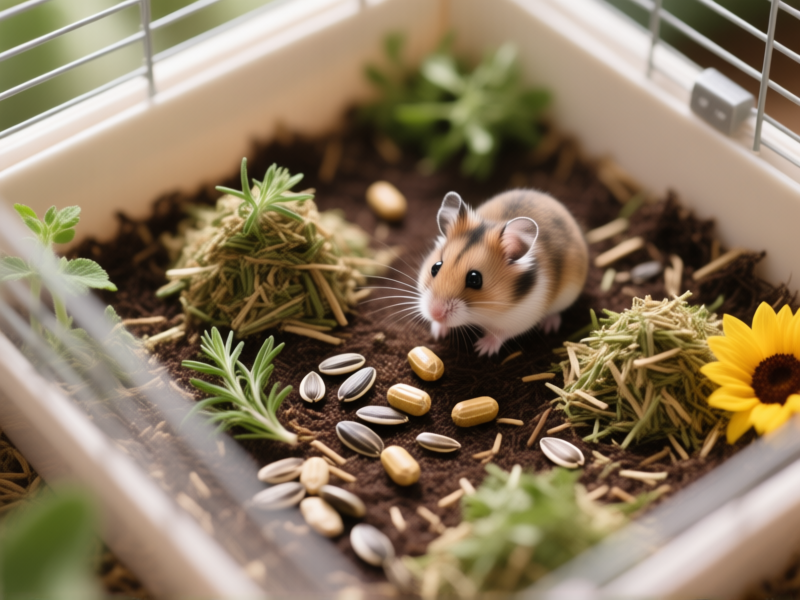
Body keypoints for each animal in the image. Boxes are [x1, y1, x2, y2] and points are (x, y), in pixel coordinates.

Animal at [417, 189, 588, 356]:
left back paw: (549, 326)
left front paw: (481, 350)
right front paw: (438, 332)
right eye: (435, 268)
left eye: (475, 279)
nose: (435, 313)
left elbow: (499, 334)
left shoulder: (519, 319)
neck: (483, 313)